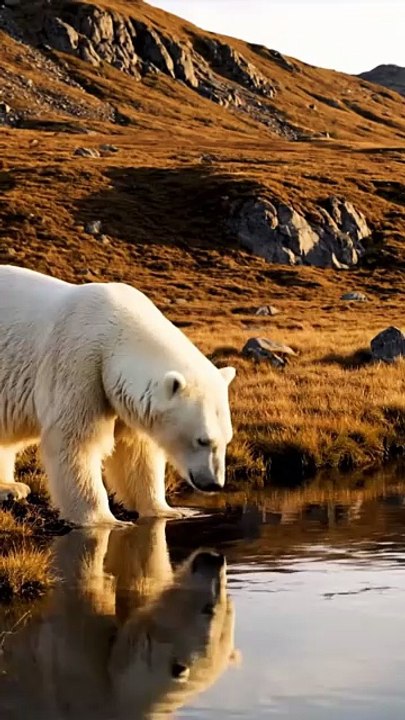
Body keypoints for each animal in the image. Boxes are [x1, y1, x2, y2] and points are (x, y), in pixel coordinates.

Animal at [0, 265, 236, 525]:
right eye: (202, 440)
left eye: (227, 439)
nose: (214, 483)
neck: (114, 329)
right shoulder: (79, 364)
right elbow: (76, 441)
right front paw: (104, 520)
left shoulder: (121, 397)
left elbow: (136, 452)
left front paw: (167, 510)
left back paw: (11, 487)